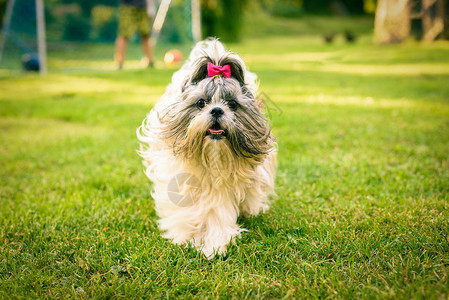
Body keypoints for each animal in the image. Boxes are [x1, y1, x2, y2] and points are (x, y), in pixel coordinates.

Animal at [136, 38, 276, 258]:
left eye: (232, 104)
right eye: (201, 102)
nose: (217, 110)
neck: (213, 159)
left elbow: (217, 213)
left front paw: (214, 245)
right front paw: (187, 237)